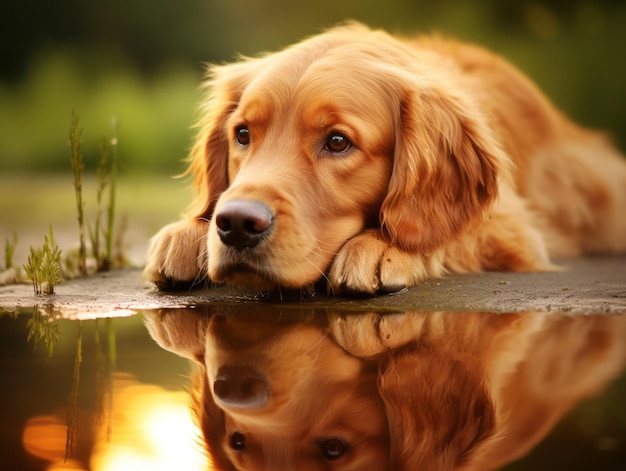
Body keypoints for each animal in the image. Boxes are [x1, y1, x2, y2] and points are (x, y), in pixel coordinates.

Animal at [143, 24, 624, 296]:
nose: (238, 224)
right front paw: (188, 233)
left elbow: (453, 236)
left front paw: (380, 247)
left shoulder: (515, 229)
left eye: (338, 142)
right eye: (243, 134)